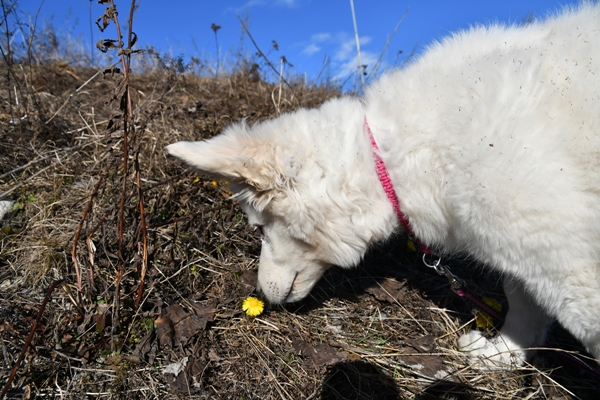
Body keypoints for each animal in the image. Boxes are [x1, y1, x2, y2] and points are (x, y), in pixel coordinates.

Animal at [166, 3, 600, 368]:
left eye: (258, 228)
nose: (261, 295)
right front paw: (503, 353)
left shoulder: (571, 266)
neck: (390, 158)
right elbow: (522, 297)